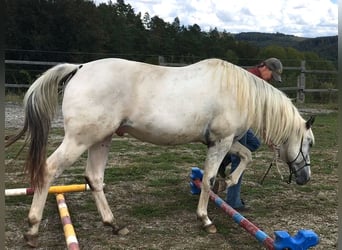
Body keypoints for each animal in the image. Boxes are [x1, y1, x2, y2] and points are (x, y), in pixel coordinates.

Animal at [6, 57, 316, 247]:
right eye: (310, 142)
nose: (305, 178)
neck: (238, 90)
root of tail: (79, 68)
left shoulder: (225, 141)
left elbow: (245, 156)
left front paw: (230, 180)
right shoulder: (221, 142)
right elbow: (207, 180)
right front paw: (206, 219)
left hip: (101, 139)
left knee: (94, 178)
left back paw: (113, 224)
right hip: (80, 139)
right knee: (48, 170)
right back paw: (32, 229)